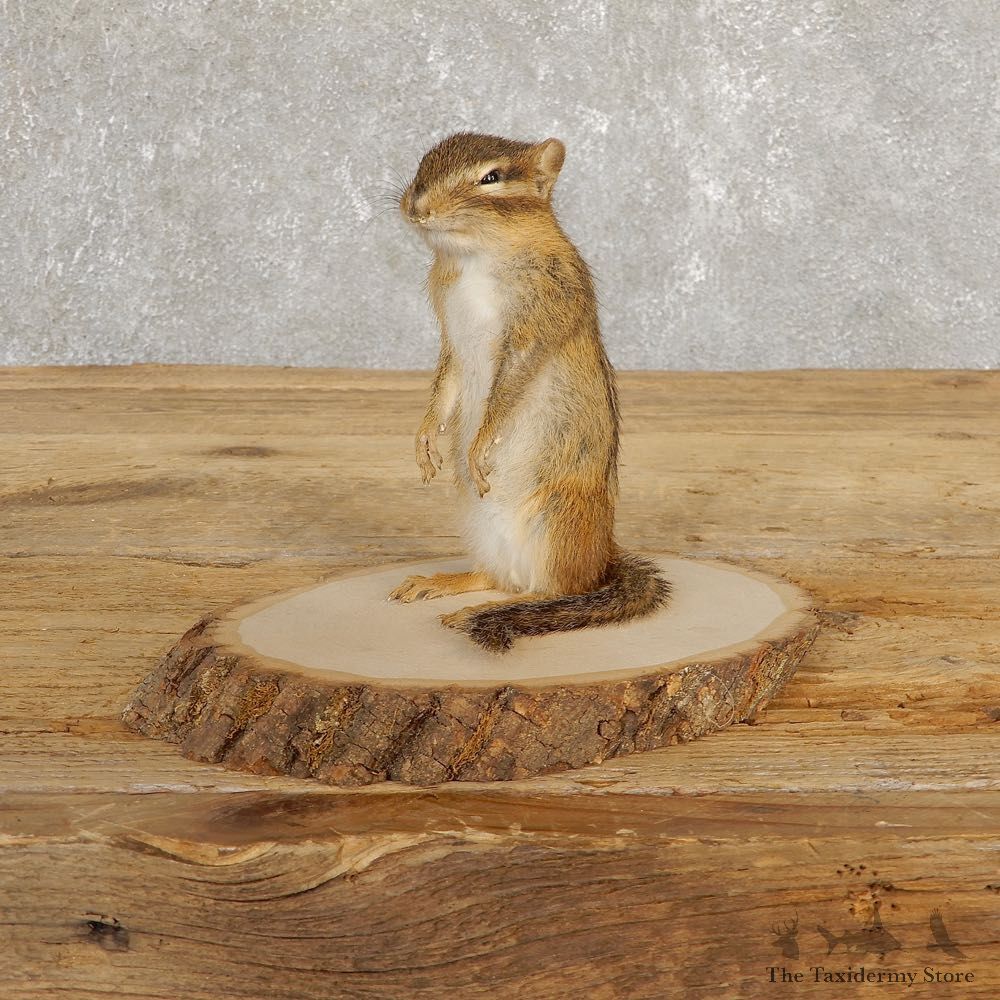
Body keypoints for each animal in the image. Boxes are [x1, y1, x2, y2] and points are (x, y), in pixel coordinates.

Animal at [388, 132, 669, 652]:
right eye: (423, 163)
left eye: (492, 177)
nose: (416, 207)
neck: (476, 257)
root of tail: (604, 555)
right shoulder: (451, 338)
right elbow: (445, 385)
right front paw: (425, 437)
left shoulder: (536, 325)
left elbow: (509, 388)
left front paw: (480, 444)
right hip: (477, 522)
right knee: (502, 580)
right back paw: (443, 583)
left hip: (555, 522)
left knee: (555, 592)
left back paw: (481, 611)